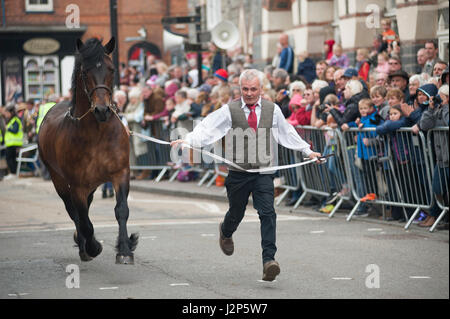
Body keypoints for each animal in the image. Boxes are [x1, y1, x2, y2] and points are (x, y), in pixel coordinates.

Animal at [38, 37, 138, 264]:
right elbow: (84, 220)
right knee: (73, 212)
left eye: (111, 69)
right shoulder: (76, 185)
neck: (98, 133)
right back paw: (84, 245)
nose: (102, 110)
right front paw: (93, 246)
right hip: (59, 180)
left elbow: (122, 210)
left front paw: (125, 249)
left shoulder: (120, 173)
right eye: (85, 72)